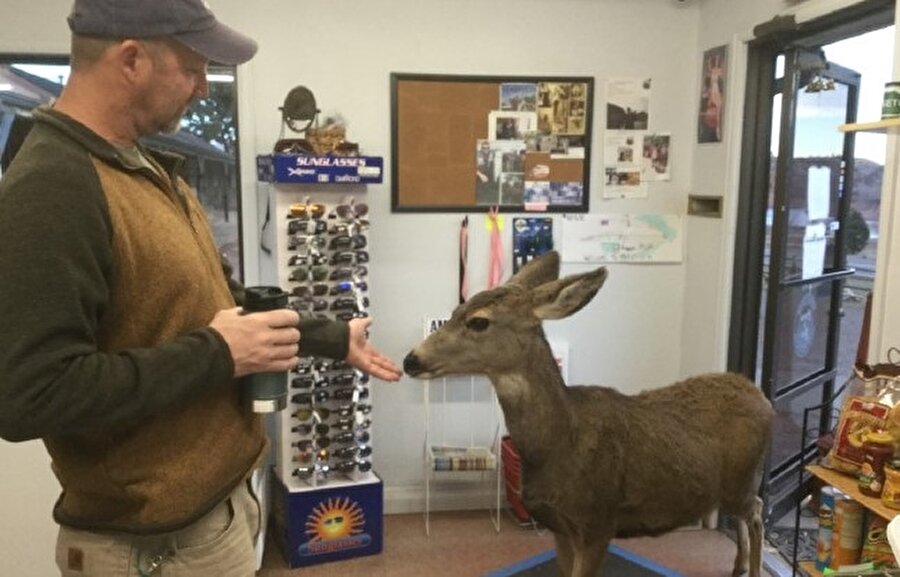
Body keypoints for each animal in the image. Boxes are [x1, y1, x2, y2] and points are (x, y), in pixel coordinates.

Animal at [402, 251, 772, 576]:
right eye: (455, 310)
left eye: (479, 321)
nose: (411, 359)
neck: (559, 441)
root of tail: (761, 396)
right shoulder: (561, 528)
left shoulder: (598, 523)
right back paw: (738, 565)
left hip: (743, 480)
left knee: (757, 512)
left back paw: (752, 569)